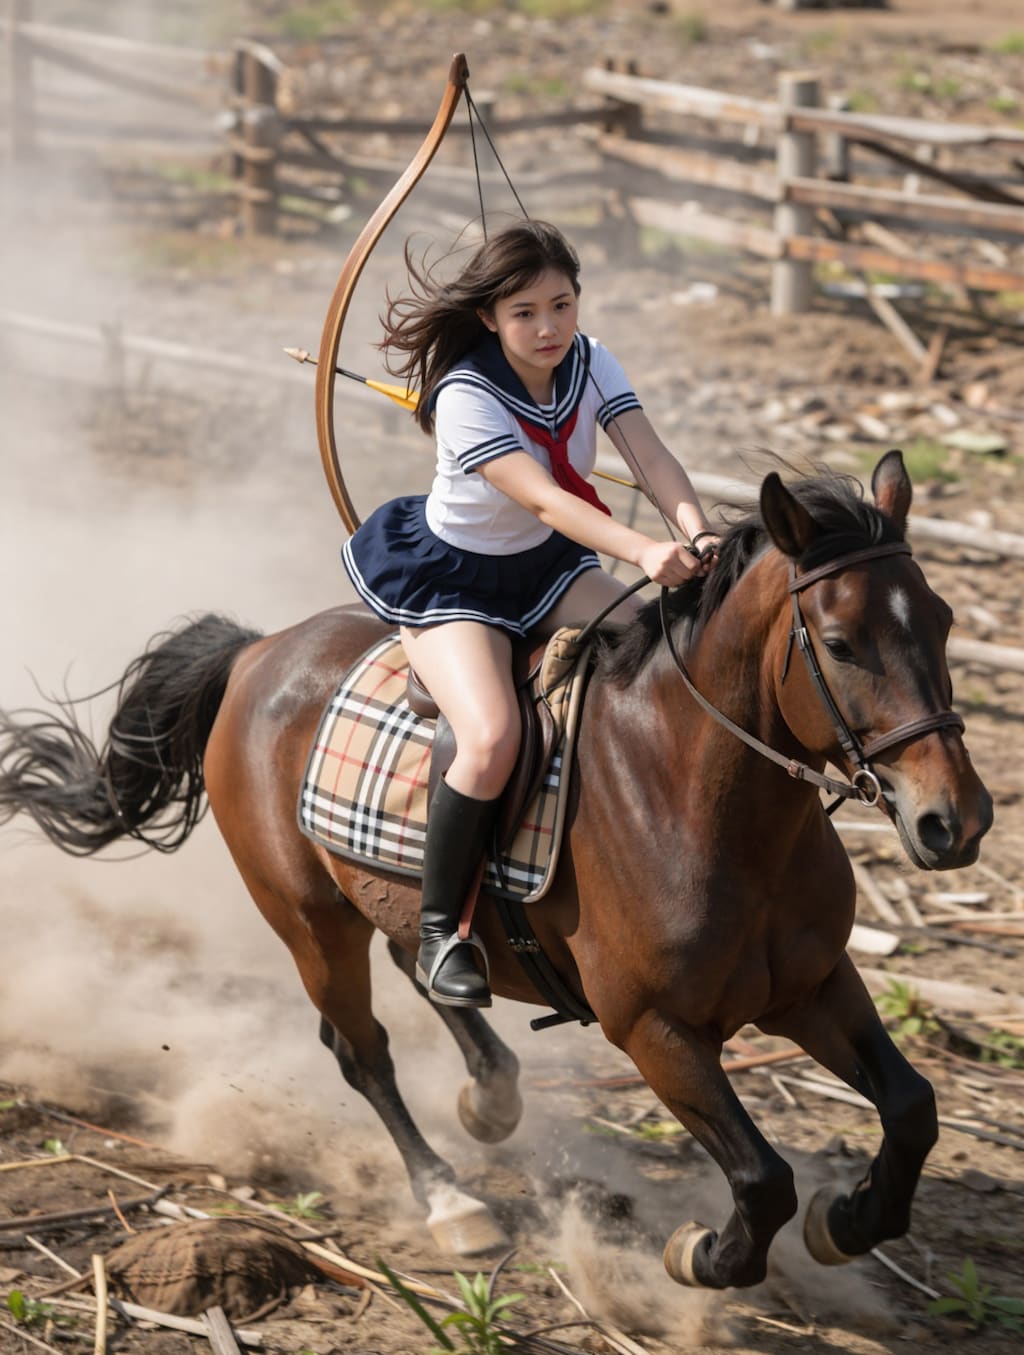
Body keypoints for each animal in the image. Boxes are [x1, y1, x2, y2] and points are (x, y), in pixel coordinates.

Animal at [0, 450, 992, 1290]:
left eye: (944, 621)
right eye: (841, 641)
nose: (957, 820)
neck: (699, 801)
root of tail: (254, 650)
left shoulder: (814, 985)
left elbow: (913, 1106)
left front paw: (850, 1219)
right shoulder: (656, 1030)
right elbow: (761, 1176)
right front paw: (703, 1253)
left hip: (387, 902)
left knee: (426, 961)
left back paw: (490, 1093)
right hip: (311, 920)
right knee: (360, 1048)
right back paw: (451, 1199)